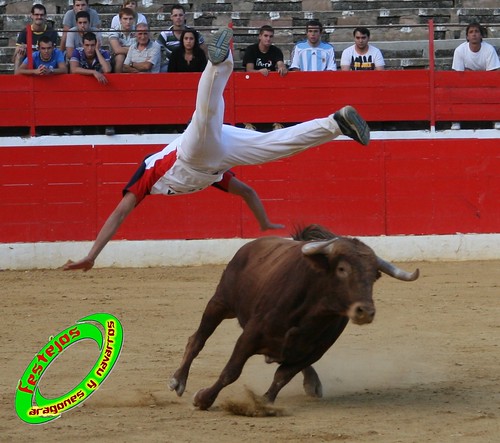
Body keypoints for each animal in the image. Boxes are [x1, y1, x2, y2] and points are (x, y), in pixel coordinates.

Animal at [168, 224, 418, 412]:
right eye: (342, 269)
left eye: (374, 275)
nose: (365, 311)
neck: (312, 312)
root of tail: (250, 246)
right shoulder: (250, 335)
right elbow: (232, 371)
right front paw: (203, 399)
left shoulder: (315, 350)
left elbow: (283, 376)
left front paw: (264, 403)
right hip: (221, 302)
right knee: (197, 339)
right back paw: (178, 381)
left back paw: (312, 383)